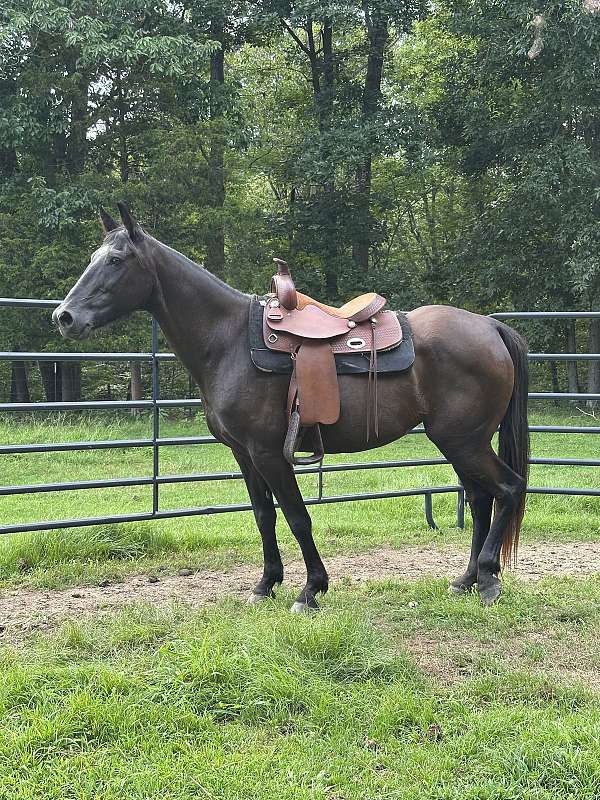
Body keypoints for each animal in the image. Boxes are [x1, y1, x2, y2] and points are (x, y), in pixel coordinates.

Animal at [53, 203, 529, 610]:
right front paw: (266, 584)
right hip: (459, 442)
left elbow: (298, 517)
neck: (227, 340)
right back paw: (467, 580)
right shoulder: (243, 454)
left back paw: (488, 578)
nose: (64, 317)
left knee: (506, 489)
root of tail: (490, 327)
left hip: (463, 441)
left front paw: (310, 590)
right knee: (480, 498)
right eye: (96, 256)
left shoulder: (270, 453)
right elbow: (264, 516)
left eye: (116, 260)